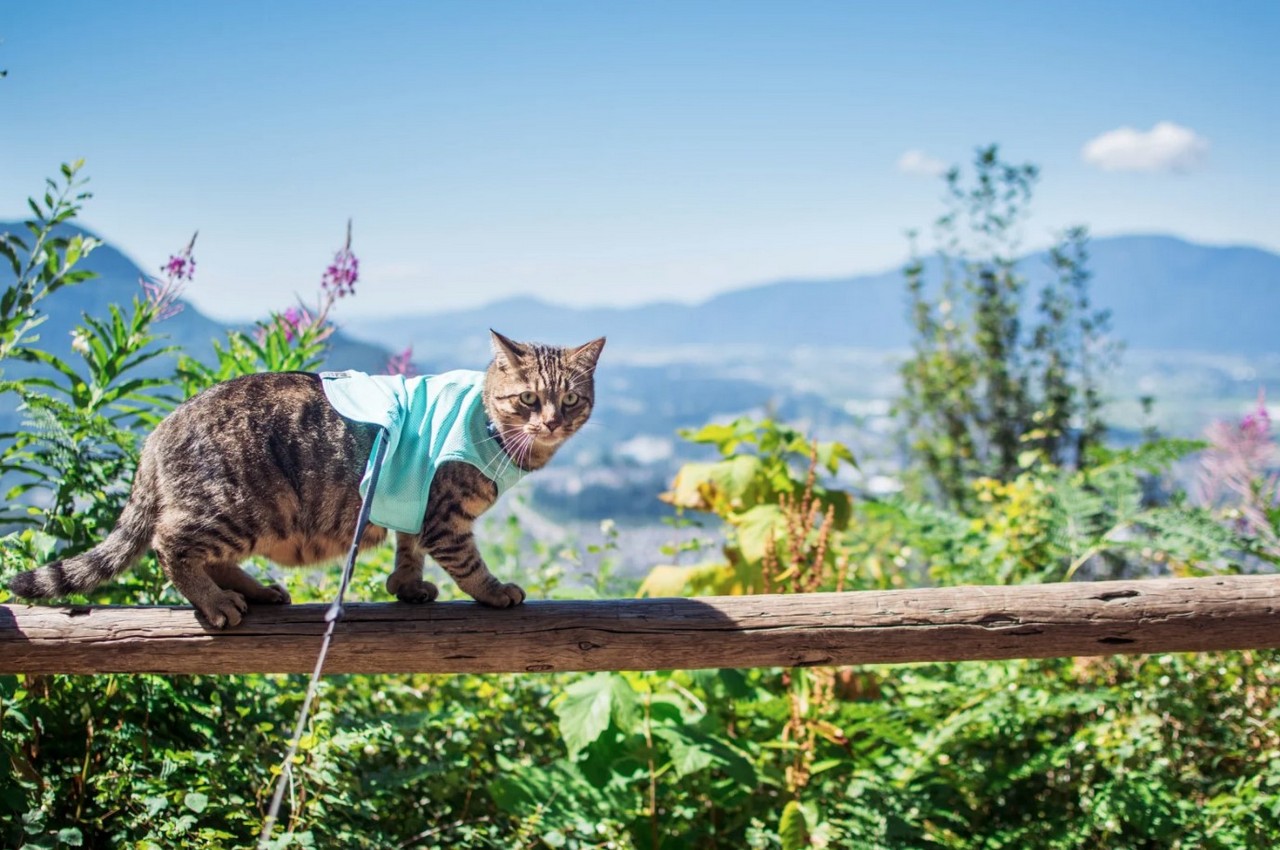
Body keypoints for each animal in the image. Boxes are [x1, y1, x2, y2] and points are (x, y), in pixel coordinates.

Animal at [6, 327, 604, 627]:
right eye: (528, 399)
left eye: (571, 400)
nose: (552, 421)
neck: (489, 423)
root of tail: (160, 431)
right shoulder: (445, 515)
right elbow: (468, 565)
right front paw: (496, 591)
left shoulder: (409, 500)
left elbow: (407, 551)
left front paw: (406, 587)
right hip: (235, 508)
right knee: (170, 544)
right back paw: (217, 604)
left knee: (210, 557)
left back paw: (257, 592)